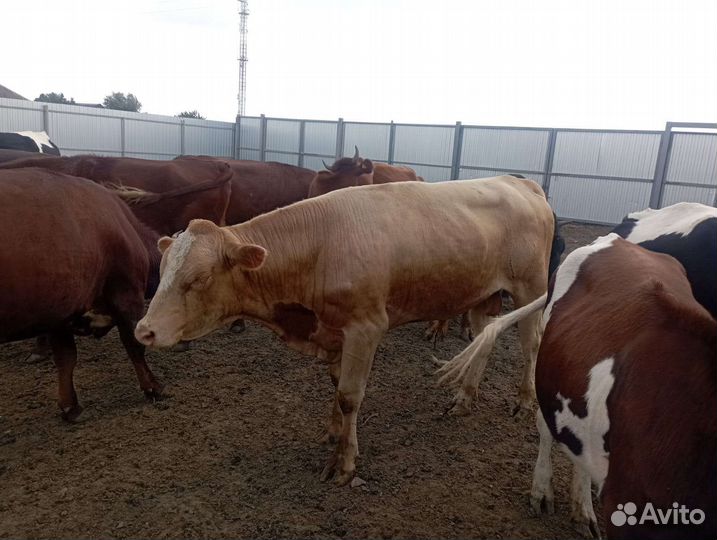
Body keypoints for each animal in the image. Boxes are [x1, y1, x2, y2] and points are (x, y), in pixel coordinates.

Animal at [0, 168, 163, 421]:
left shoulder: (59, 312)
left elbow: (66, 358)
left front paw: (70, 406)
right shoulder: (126, 295)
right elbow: (134, 344)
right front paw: (152, 387)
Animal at [133, 175, 560, 484]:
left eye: (199, 278)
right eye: (163, 267)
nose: (144, 331)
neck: (318, 248)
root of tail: (519, 181)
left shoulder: (366, 327)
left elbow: (350, 396)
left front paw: (345, 462)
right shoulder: (335, 332)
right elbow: (336, 388)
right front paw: (334, 434)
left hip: (531, 286)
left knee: (530, 344)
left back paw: (524, 401)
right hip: (482, 294)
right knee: (485, 340)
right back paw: (464, 398)